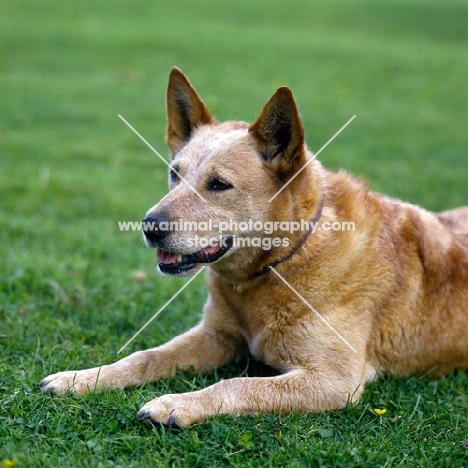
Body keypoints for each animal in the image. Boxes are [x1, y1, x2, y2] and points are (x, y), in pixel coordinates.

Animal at [41, 66, 468, 428]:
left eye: (218, 185)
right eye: (174, 174)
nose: (150, 226)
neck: (280, 265)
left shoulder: (335, 380)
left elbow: (237, 384)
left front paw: (177, 403)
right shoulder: (216, 336)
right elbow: (145, 356)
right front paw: (84, 377)